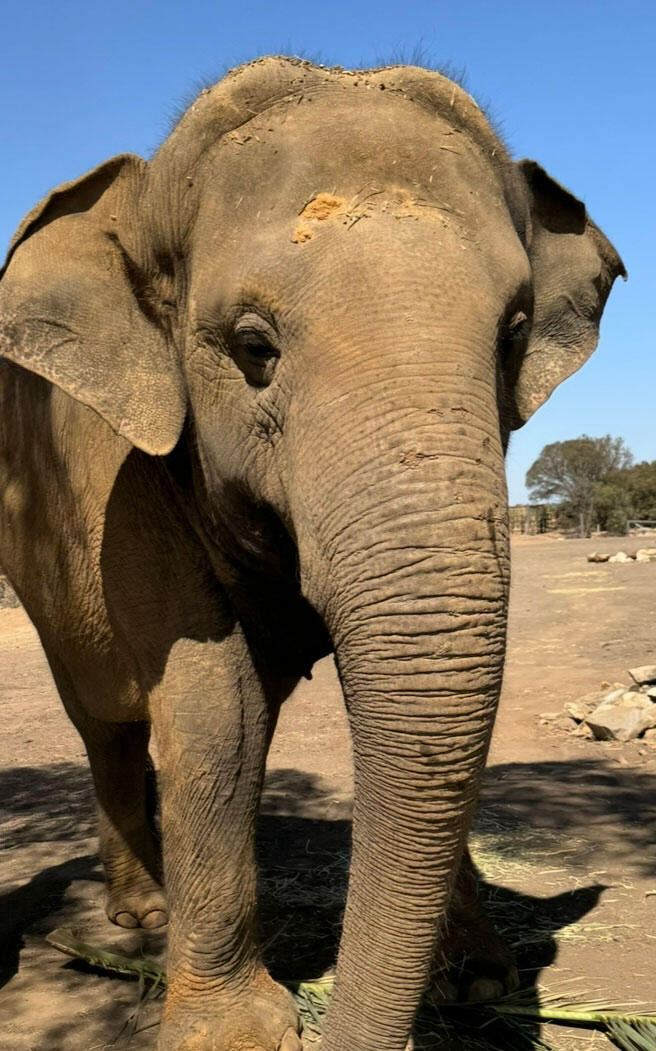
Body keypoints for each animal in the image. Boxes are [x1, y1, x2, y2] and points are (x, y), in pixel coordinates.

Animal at [0, 57, 624, 1051]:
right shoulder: (133, 481)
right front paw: (235, 1033)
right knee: (106, 718)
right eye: (253, 347)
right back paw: (142, 915)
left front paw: (480, 981)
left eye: (515, 335)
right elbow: (216, 704)